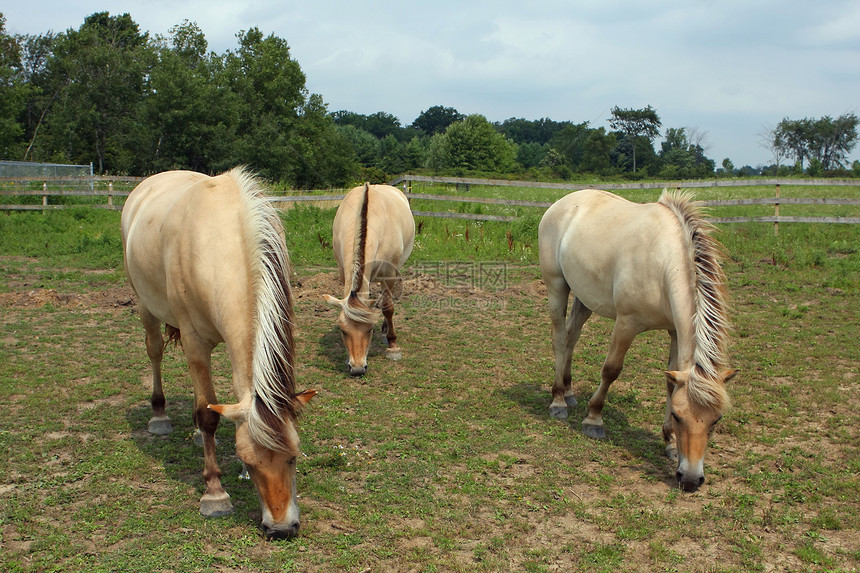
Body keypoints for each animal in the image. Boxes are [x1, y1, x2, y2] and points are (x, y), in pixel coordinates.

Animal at [120, 166, 316, 536]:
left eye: (294, 456)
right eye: (251, 463)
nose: (282, 528)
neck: (220, 244)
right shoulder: (196, 343)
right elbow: (208, 413)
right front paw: (214, 493)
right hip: (145, 306)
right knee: (155, 352)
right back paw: (159, 416)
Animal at [324, 183, 414, 376]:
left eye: (370, 329)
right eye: (343, 330)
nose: (357, 368)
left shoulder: (388, 274)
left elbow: (388, 307)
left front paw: (393, 346)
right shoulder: (342, 271)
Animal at [540, 189, 736, 492]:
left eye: (716, 420)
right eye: (679, 416)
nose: (691, 479)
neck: (663, 264)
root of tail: (563, 203)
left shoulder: (675, 332)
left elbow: (670, 383)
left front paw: (669, 443)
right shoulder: (626, 323)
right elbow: (611, 370)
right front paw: (593, 420)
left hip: (585, 297)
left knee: (572, 336)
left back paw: (570, 392)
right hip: (557, 286)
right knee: (560, 338)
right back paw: (558, 400)